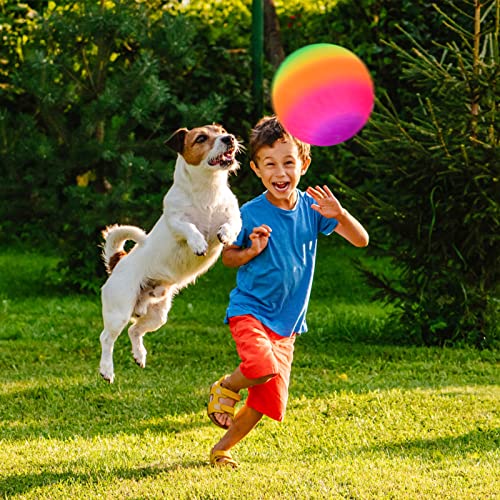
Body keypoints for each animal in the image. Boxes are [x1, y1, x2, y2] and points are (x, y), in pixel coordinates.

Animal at [98, 125, 242, 382]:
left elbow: (231, 224)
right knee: (107, 338)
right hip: (119, 310)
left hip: (157, 315)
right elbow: (189, 227)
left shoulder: (234, 216)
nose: (230, 138)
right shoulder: (176, 222)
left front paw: (225, 234)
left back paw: (139, 355)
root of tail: (118, 262)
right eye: (201, 138)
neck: (208, 190)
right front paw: (198, 243)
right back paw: (106, 370)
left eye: (221, 130)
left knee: (135, 330)